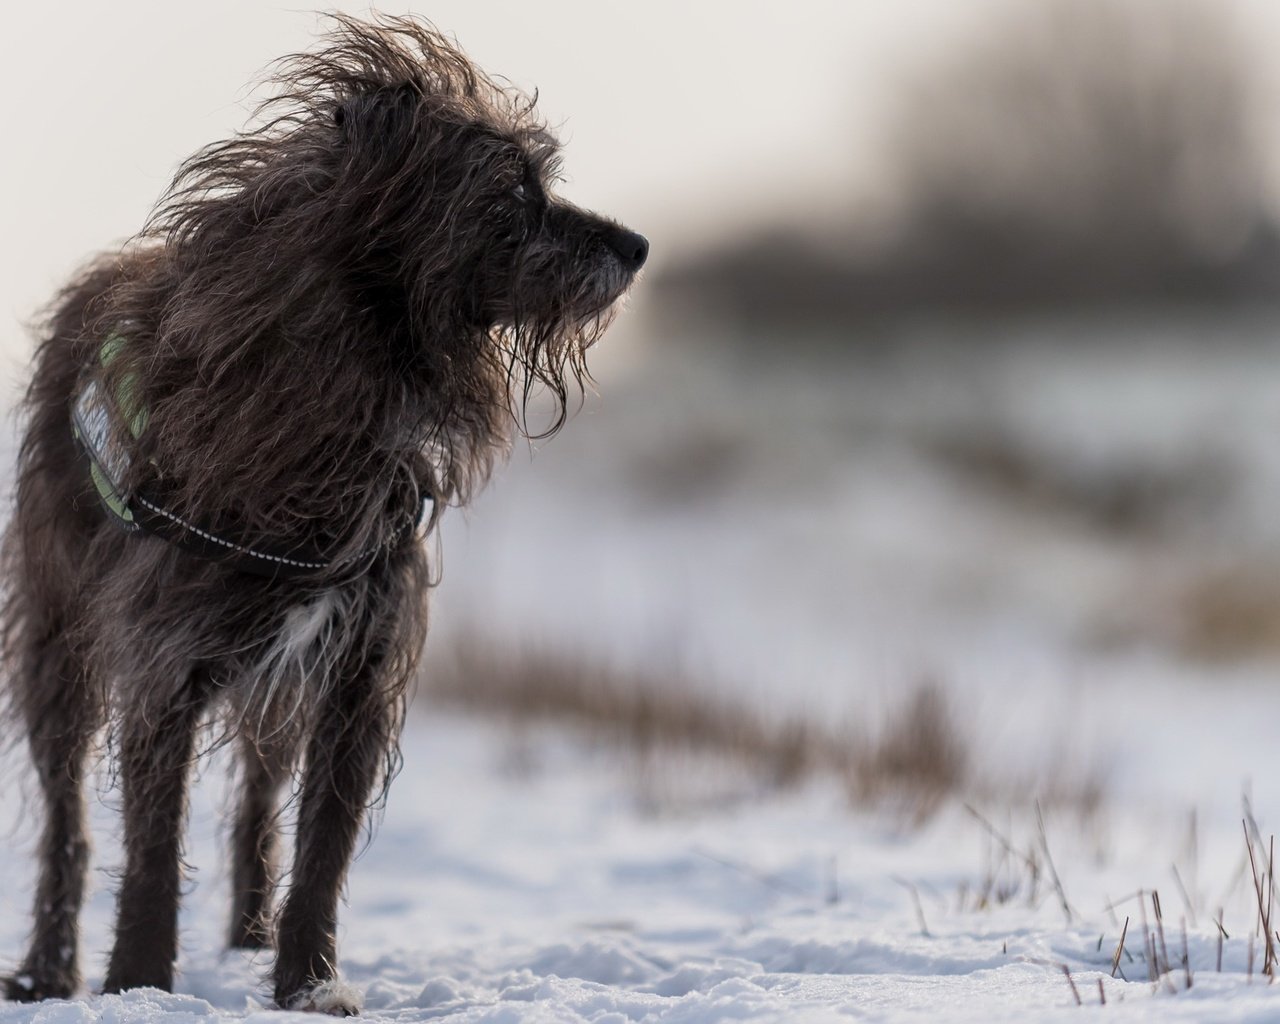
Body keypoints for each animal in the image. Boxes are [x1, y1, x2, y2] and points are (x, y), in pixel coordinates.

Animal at [0, 14, 640, 1008]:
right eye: (512, 194)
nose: (638, 246)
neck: (349, 377)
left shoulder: (356, 671)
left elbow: (324, 849)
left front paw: (306, 984)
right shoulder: (163, 661)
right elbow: (151, 846)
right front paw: (139, 983)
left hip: (277, 678)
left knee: (260, 797)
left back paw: (248, 933)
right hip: (59, 641)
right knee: (66, 814)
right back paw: (49, 967)